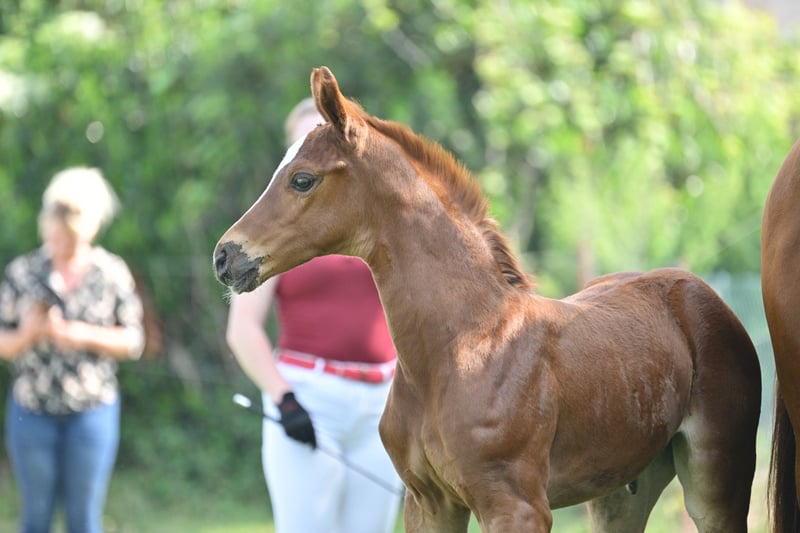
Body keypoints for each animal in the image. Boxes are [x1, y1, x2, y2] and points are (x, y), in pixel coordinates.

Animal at [213, 66, 761, 532]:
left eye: (302, 178)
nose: (225, 256)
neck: (461, 345)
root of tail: (699, 292)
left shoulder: (515, 506)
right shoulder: (429, 503)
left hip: (716, 480)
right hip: (621, 491)